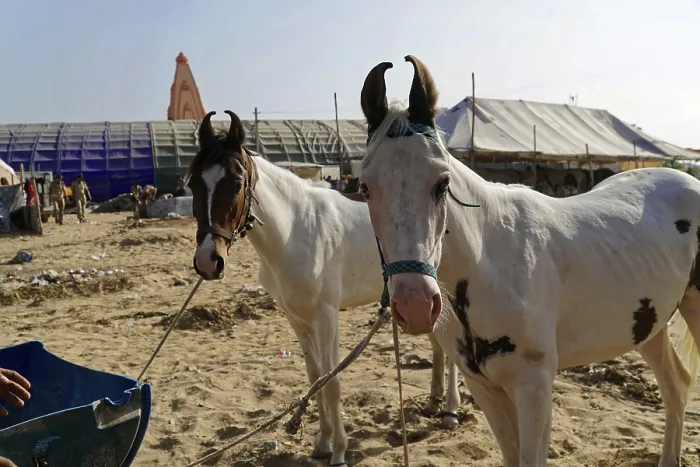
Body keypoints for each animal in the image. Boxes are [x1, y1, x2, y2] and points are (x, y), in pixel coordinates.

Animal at [185, 110, 461, 467]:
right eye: (193, 183)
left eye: (235, 184)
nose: (208, 260)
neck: (295, 230)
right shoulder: (296, 317)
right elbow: (315, 375)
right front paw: (323, 442)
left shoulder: (327, 316)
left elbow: (332, 382)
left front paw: (340, 451)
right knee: (437, 344)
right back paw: (432, 401)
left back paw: (451, 411)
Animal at [356, 55, 700, 467]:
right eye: (364, 187)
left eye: (443, 182)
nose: (416, 304)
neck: (490, 265)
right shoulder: (485, 388)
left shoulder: (534, 387)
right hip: (649, 323)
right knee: (676, 386)